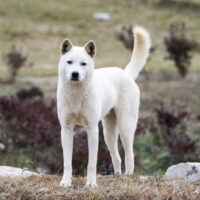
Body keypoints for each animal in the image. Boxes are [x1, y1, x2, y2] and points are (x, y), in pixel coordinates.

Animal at [56, 25, 150, 188]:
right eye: (69, 62)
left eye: (83, 64)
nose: (75, 74)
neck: (76, 94)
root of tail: (126, 73)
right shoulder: (66, 129)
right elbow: (67, 162)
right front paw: (66, 182)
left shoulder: (92, 129)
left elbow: (92, 163)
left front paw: (91, 184)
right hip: (108, 134)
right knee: (117, 157)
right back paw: (117, 176)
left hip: (125, 128)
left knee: (130, 155)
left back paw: (128, 176)